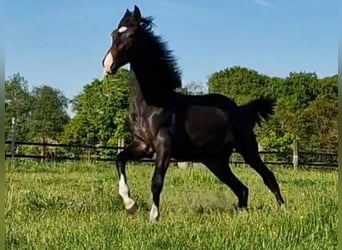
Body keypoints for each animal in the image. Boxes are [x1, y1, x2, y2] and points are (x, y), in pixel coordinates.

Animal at [102, 5, 286, 221]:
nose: (107, 65)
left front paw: (154, 217)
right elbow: (119, 159)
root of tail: (240, 110)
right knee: (241, 188)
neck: (152, 104)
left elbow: (157, 181)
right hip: (215, 161)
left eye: (130, 35)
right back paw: (241, 215)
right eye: (113, 34)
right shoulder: (143, 145)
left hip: (247, 149)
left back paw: (284, 210)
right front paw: (130, 204)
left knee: (267, 177)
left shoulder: (164, 144)